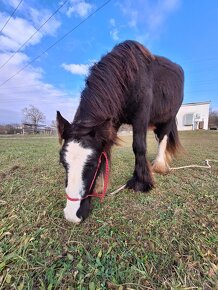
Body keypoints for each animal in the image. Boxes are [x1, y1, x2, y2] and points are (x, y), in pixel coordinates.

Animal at [56, 39, 184, 223]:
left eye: (91, 164)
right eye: (63, 163)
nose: (72, 215)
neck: (127, 75)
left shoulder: (141, 115)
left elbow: (139, 147)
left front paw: (141, 182)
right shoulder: (112, 120)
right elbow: (107, 148)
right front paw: (101, 184)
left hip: (168, 117)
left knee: (164, 138)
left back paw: (159, 165)